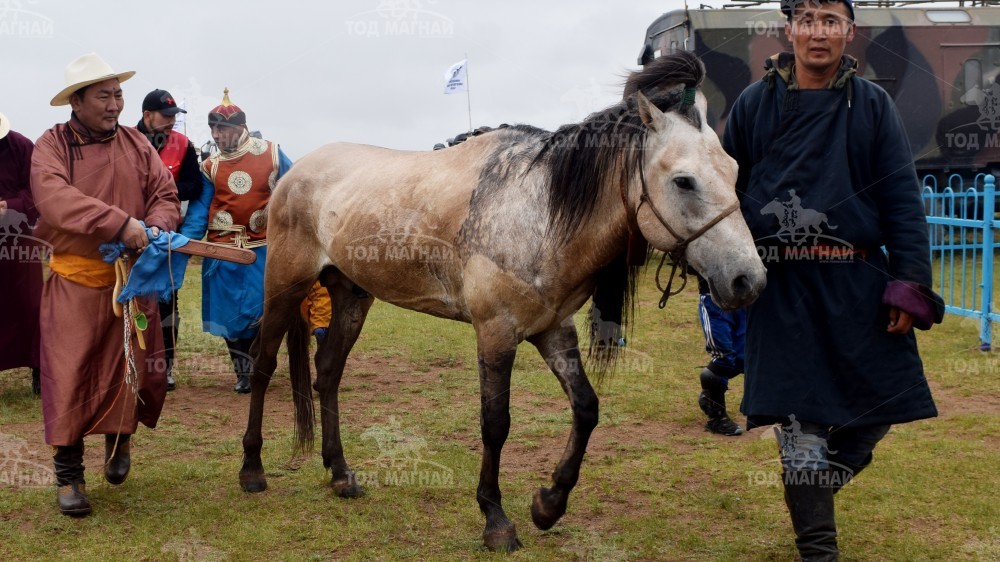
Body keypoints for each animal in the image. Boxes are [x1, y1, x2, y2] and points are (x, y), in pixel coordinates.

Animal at [240, 50, 764, 548]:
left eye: (735, 169)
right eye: (683, 180)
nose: (749, 280)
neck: (541, 211)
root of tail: (295, 171)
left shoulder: (552, 330)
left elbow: (586, 408)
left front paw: (548, 504)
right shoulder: (496, 333)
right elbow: (496, 423)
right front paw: (496, 519)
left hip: (351, 296)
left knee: (327, 373)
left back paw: (340, 474)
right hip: (284, 287)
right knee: (263, 365)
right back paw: (252, 469)